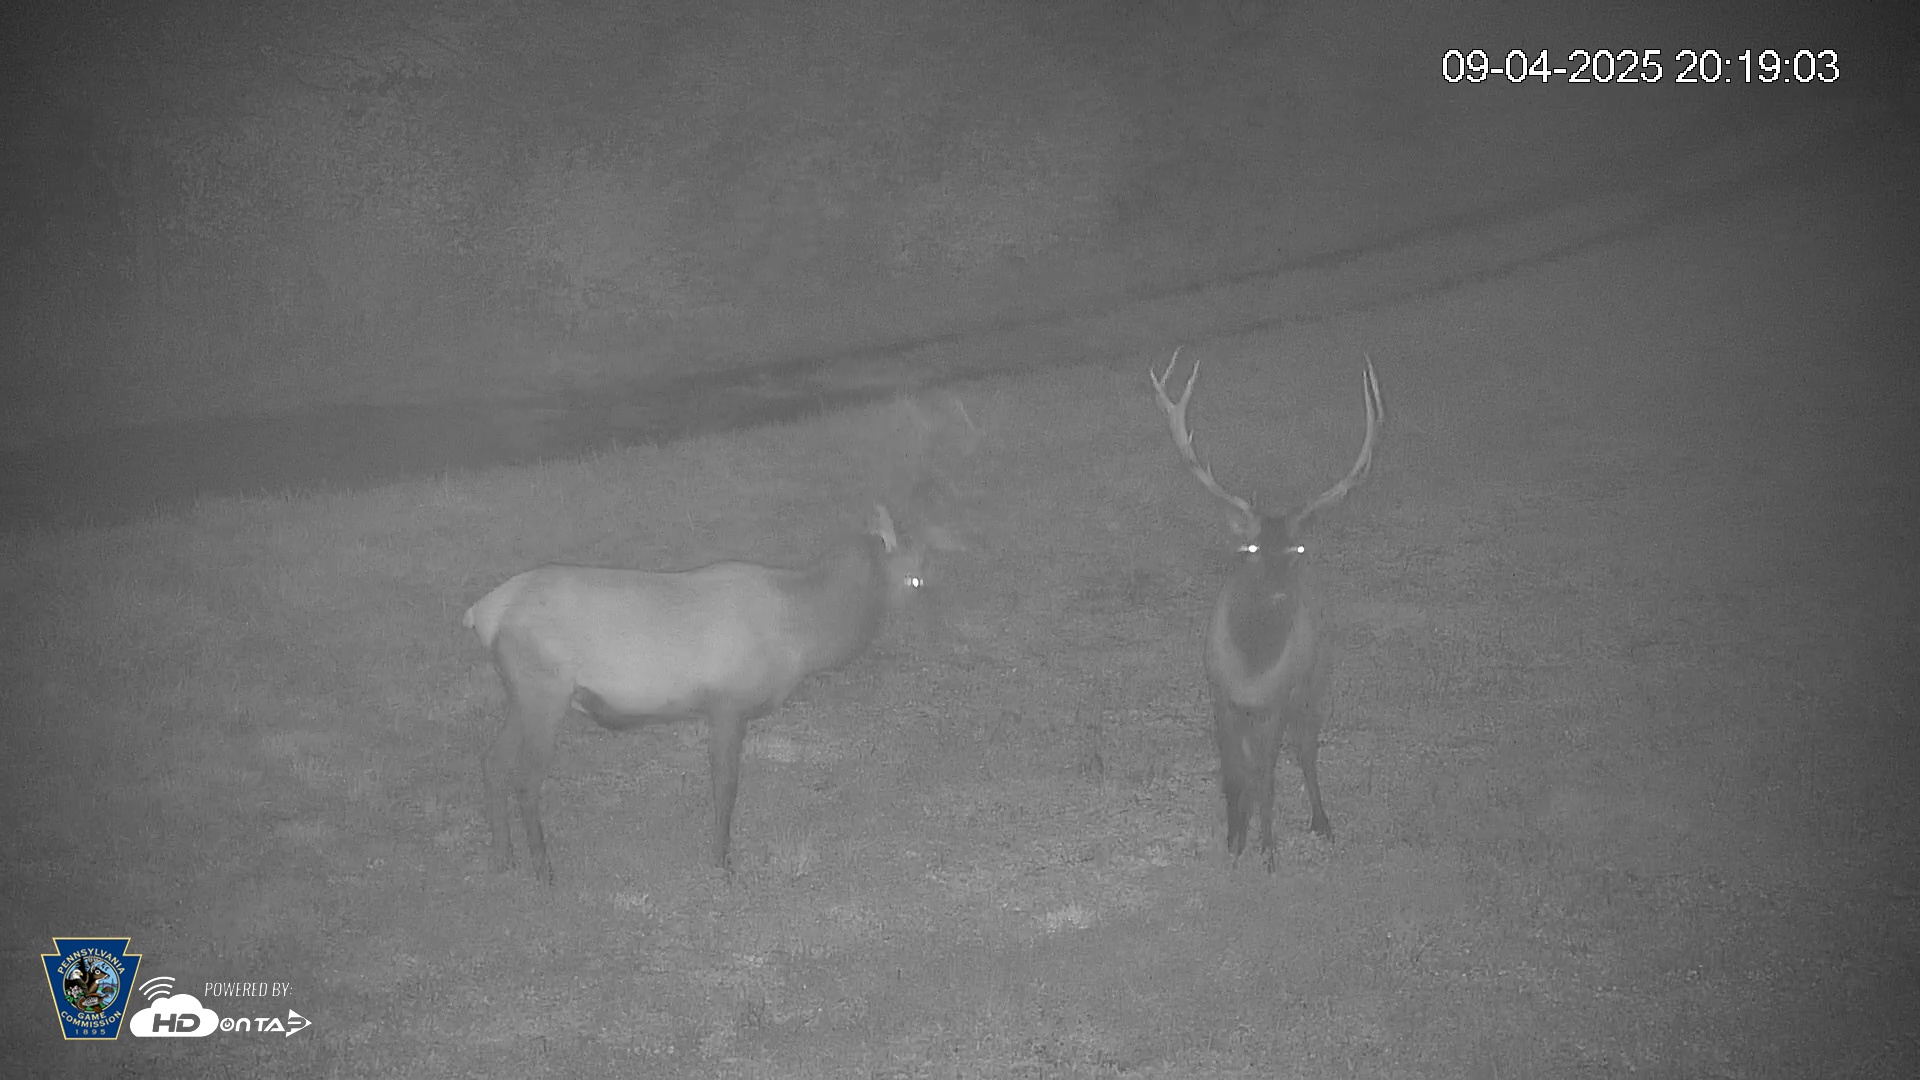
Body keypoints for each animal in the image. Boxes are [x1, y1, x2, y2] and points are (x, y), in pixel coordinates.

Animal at [464, 503, 937, 884]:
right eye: (915, 579)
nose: (935, 615)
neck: (804, 632)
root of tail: (482, 614)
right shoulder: (727, 704)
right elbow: (726, 784)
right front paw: (722, 861)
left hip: (522, 696)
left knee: (491, 762)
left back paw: (502, 858)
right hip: (543, 691)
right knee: (525, 780)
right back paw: (543, 870)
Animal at [1150, 348, 1383, 871]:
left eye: (1296, 549)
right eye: (1252, 548)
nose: (1280, 593)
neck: (1251, 671)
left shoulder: (1277, 699)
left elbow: (1267, 776)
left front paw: (1267, 850)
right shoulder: (1218, 694)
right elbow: (1233, 773)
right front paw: (1233, 841)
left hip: (1315, 677)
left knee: (1306, 748)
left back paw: (1321, 821)